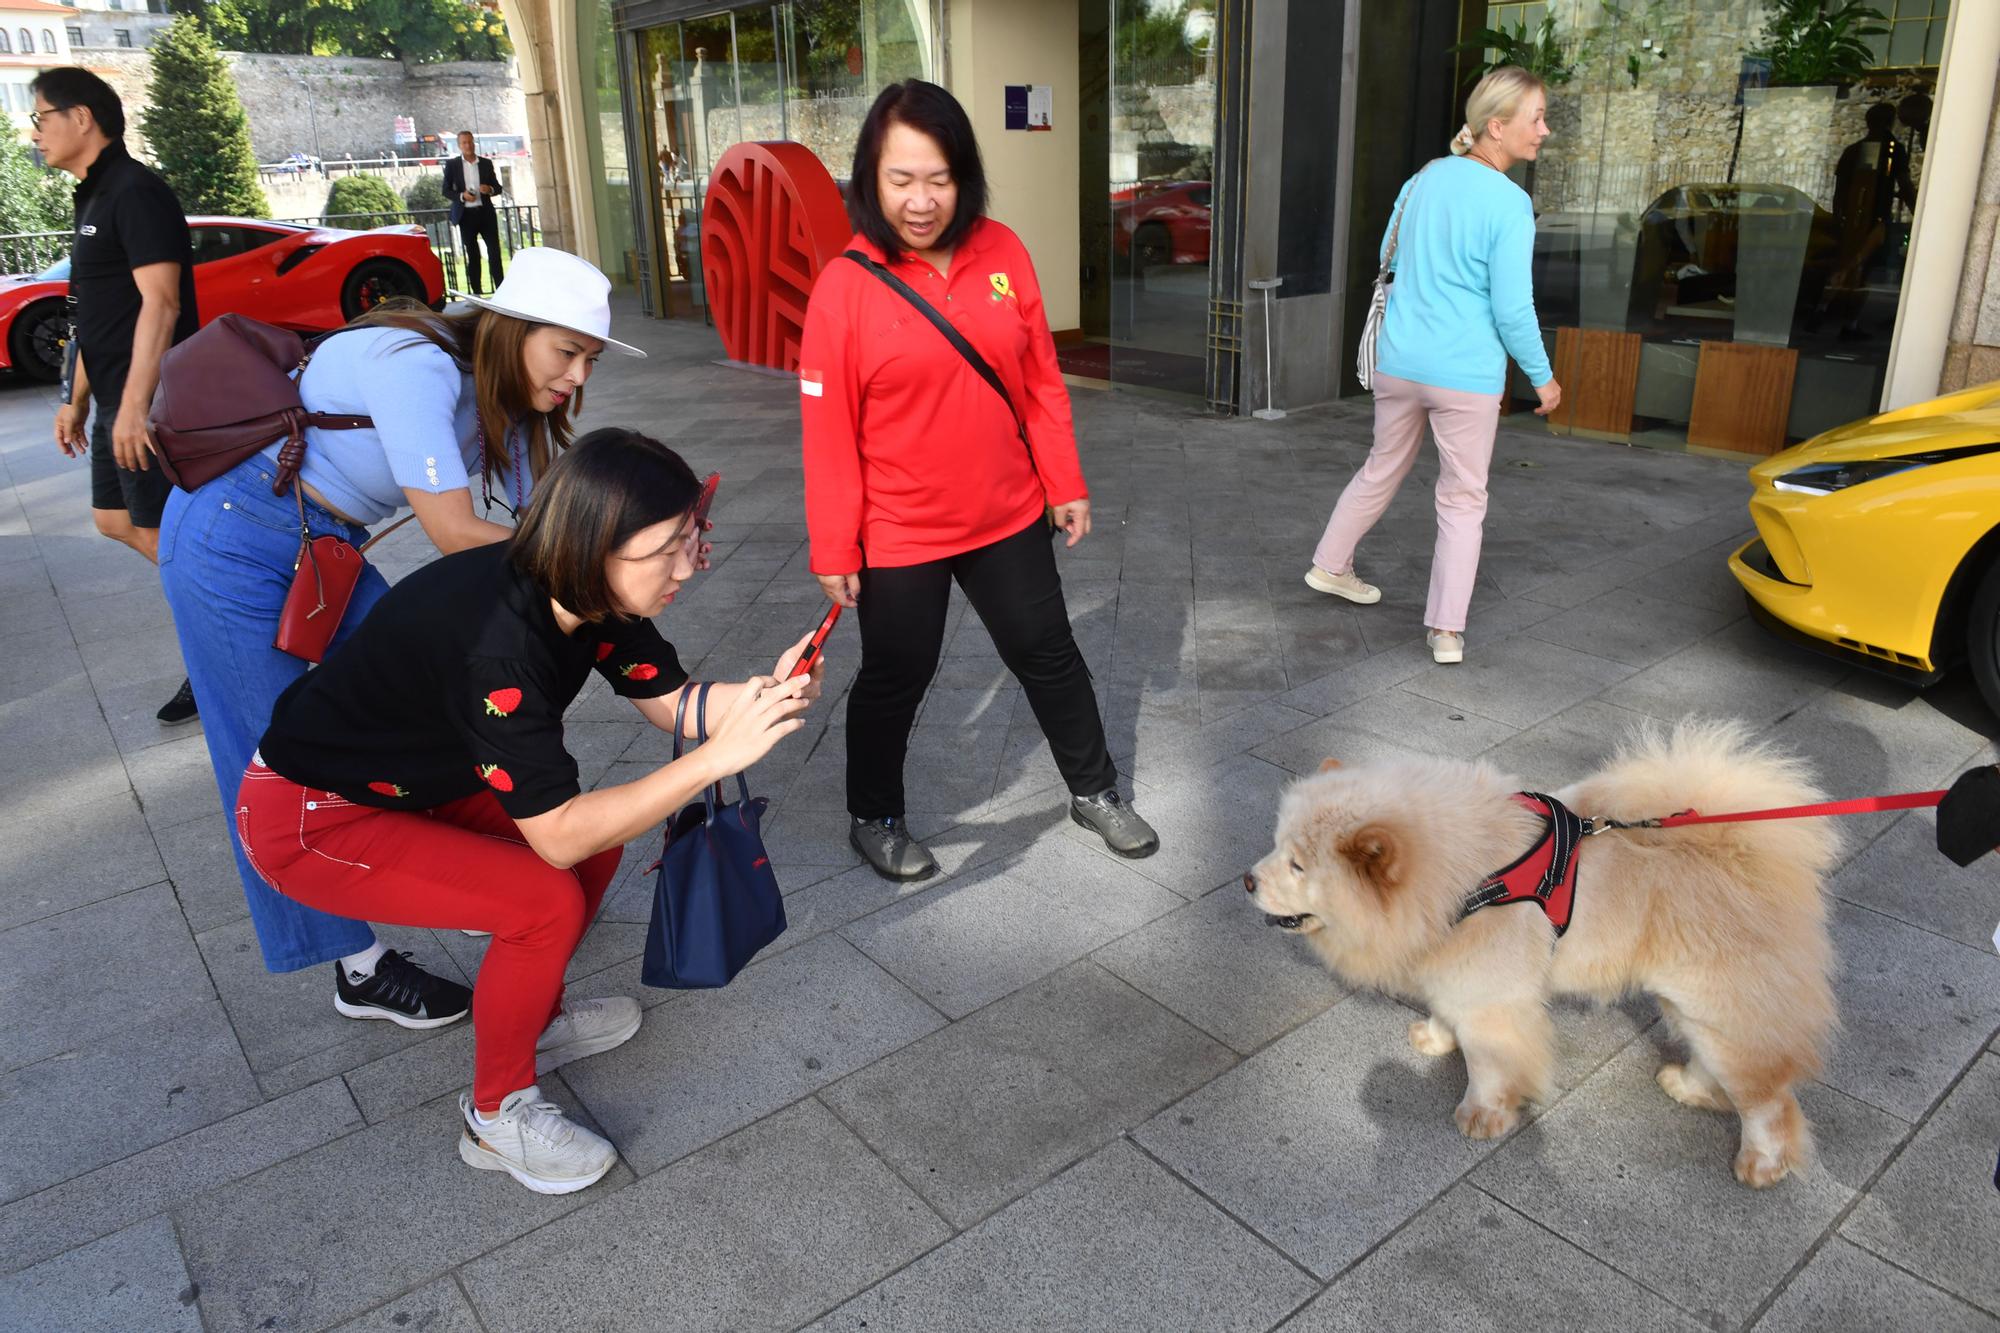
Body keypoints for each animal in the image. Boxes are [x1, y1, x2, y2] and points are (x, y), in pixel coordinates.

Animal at [1248, 716, 1840, 1184]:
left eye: (1297, 866)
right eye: (1275, 846)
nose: (1249, 881)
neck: (1466, 885)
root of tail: (1748, 849)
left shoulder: (1492, 998)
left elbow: (1488, 1064)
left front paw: (1480, 1117)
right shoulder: (1454, 969)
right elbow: (1445, 1011)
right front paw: (1434, 1039)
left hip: (1722, 1004)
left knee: (1767, 1100)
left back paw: (1760, 1164)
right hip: (1693, 1005)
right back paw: (1686, 1087)